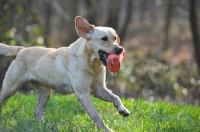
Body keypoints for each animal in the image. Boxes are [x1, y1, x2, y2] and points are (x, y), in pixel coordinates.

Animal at [0, 16, 130, 131]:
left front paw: (122, 109)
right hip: (10, 88)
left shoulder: (99, 89)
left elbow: (116, 97)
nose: (120, 49)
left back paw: (46, 126)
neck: (91, 64)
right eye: (104, 38)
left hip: (45, 93)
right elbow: (96, 116)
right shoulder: (83, 94)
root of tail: (22, 49)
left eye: (115, 38)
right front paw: (106, 129)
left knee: (37, 112)